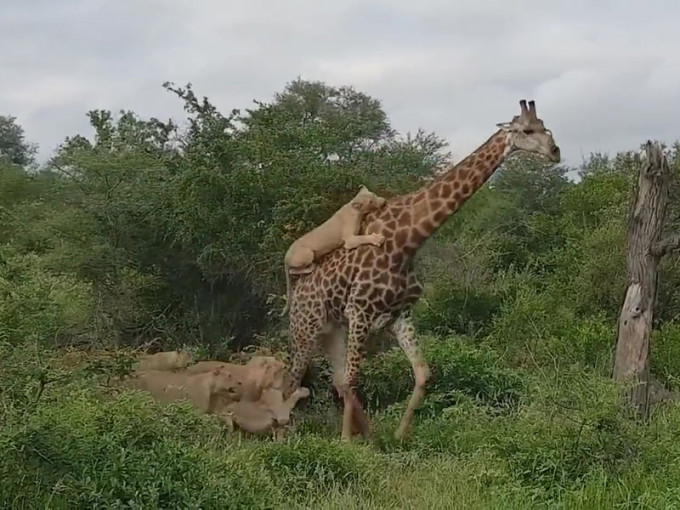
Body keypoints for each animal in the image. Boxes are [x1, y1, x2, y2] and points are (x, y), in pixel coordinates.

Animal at [282, 186, 388, 314]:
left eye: (374, 195)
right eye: (370, 202)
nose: (384, 201)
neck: (354, 208)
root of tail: (286, 257)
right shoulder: (349, 240)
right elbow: (362, 237)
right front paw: (377, 238)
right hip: (308, 254)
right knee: (293, 271)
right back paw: (312, 266)